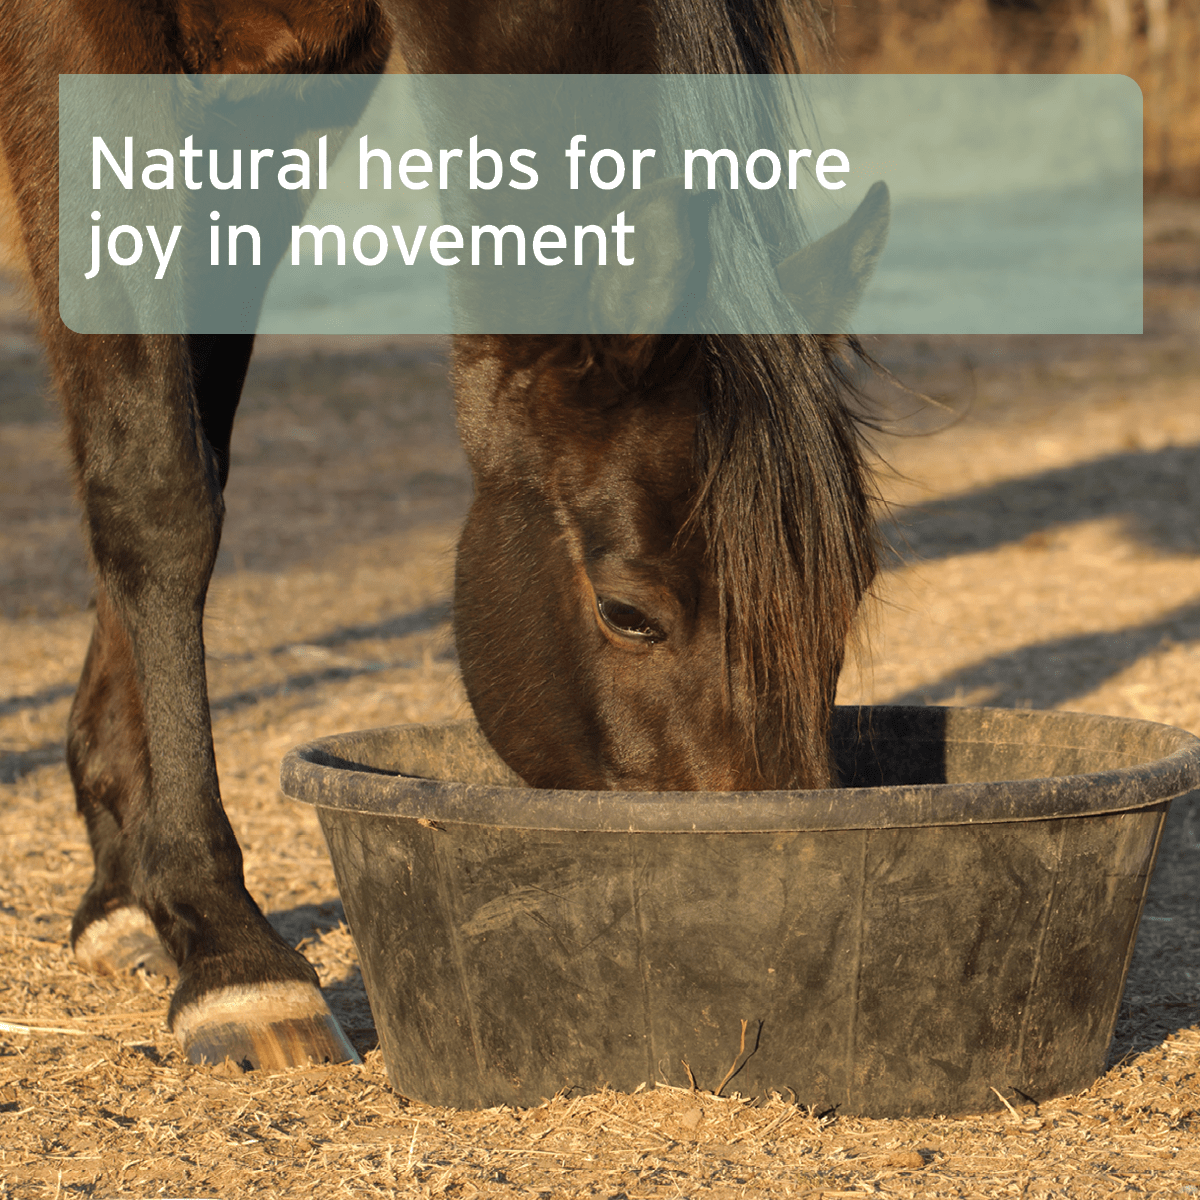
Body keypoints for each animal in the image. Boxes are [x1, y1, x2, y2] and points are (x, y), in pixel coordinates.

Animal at [0, 0, 886, 1073]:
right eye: (629, 613)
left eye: (853, 592)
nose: (765, 915)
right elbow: (157, 485)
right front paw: (227, 948)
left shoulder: (296, 84)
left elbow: (196, 438)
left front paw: (129, 889)